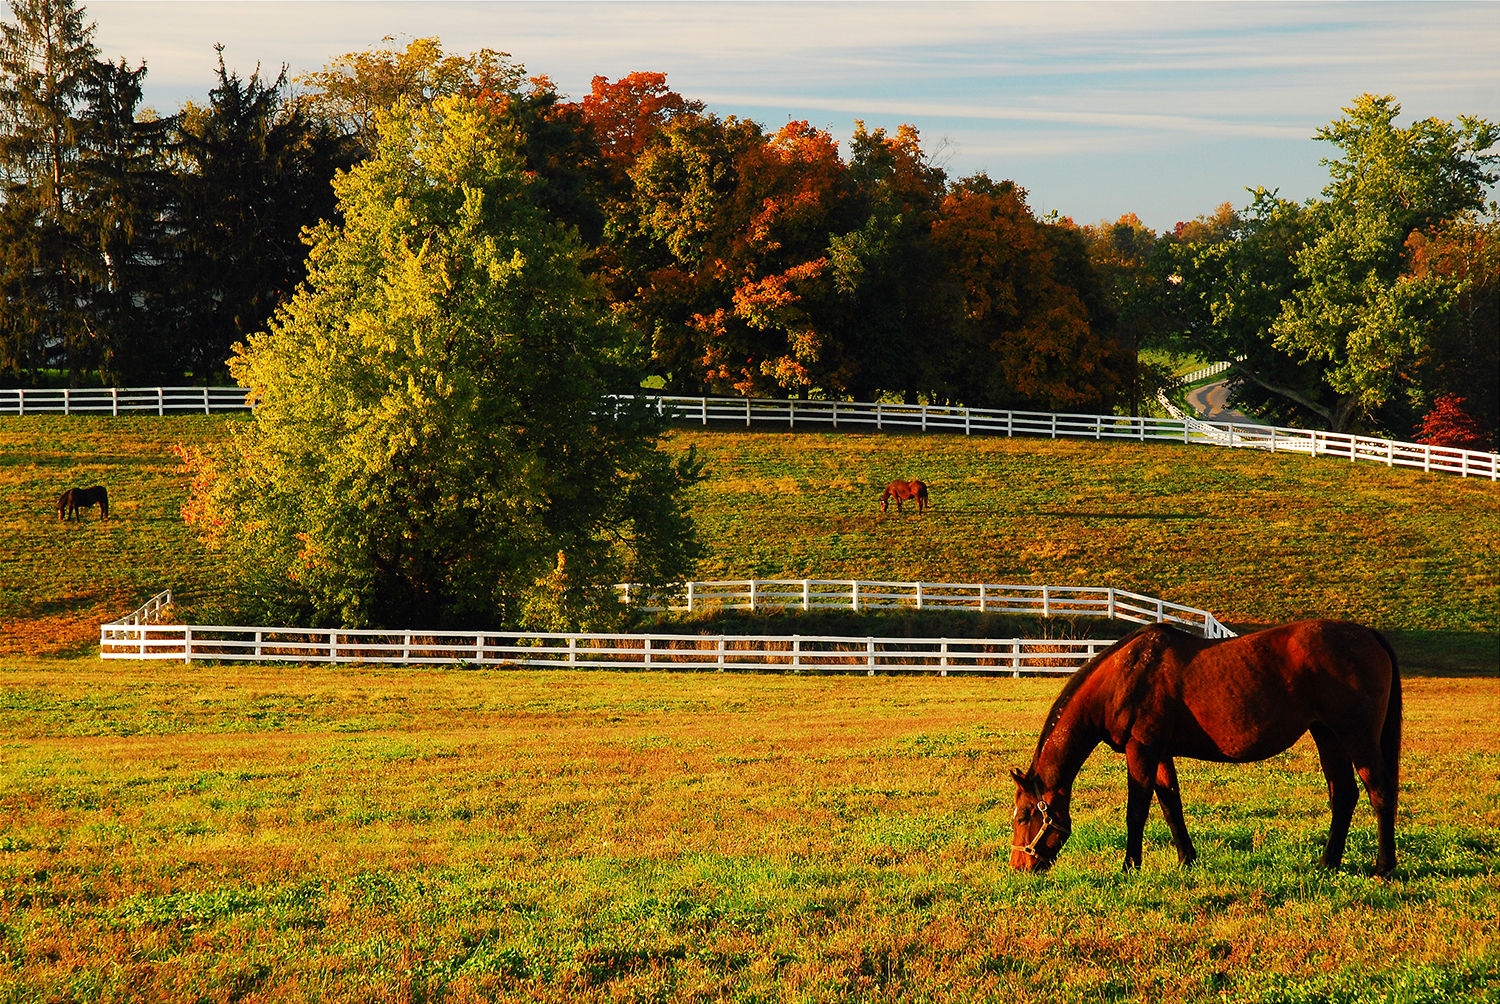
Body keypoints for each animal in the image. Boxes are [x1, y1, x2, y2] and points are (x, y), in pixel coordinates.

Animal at [1014, 618, 1398, 876]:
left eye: (1023, 816)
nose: (1018, 866)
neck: (1124, 674)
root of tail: (1369, 634)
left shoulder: (1142, 749)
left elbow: (1136, 810)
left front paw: (1129, 866)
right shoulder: (1160, 752)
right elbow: (1171, 804)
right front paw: (1187, 858)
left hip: (1357, 736)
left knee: (1379, 793)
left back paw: (1383, 866)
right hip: (1327, 735)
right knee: (1344, 794)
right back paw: (1328, 862)